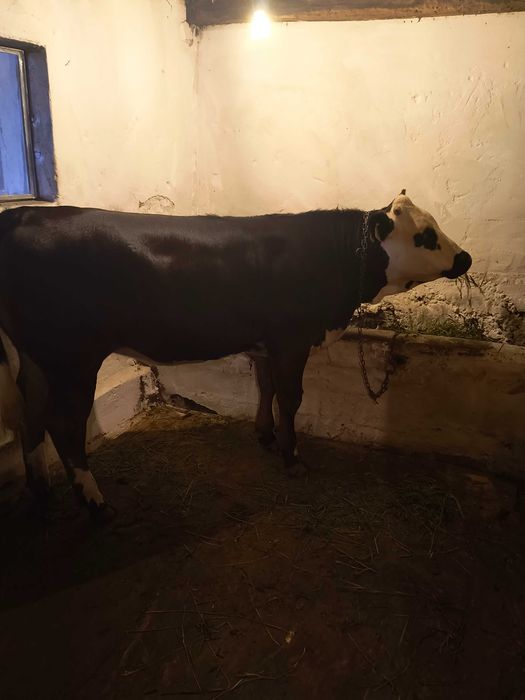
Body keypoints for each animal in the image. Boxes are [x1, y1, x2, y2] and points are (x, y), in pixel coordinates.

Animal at [0, 191, 471, 513]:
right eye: (425, 236)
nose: (465, 257)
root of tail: (21, 214)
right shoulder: (292, 340)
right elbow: (290, 398)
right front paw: (293, 458)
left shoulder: (265, 346)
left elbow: (266, 390)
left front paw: (266, 437)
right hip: (73, 358)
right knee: (62, 424)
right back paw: (94, 500)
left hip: (36, 359)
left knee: (30, 416)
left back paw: (42, 491)